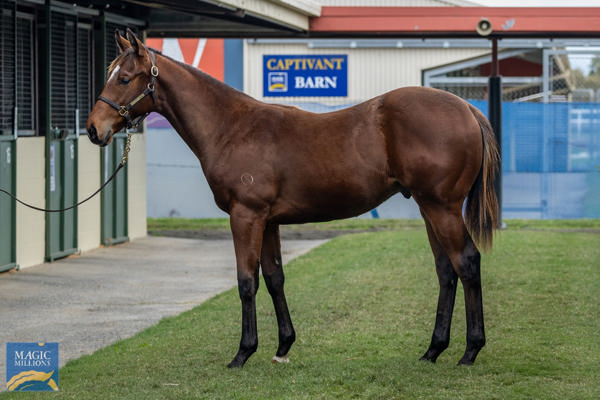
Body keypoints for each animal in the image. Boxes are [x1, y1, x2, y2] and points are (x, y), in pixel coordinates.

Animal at [88, 30, 502, 368]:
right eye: (110, 74)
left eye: (124, 78)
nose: (94, 130)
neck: (232, 128)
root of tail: (466, 108)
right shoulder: (268, 221)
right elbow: (274, 278)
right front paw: (283, 346)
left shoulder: (246, 216)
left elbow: (246, 281)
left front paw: (243, 352)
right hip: (428, 208)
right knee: (446, 271)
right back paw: (434, 349)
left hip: (441, 208)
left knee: (466, 263)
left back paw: (470, 350)